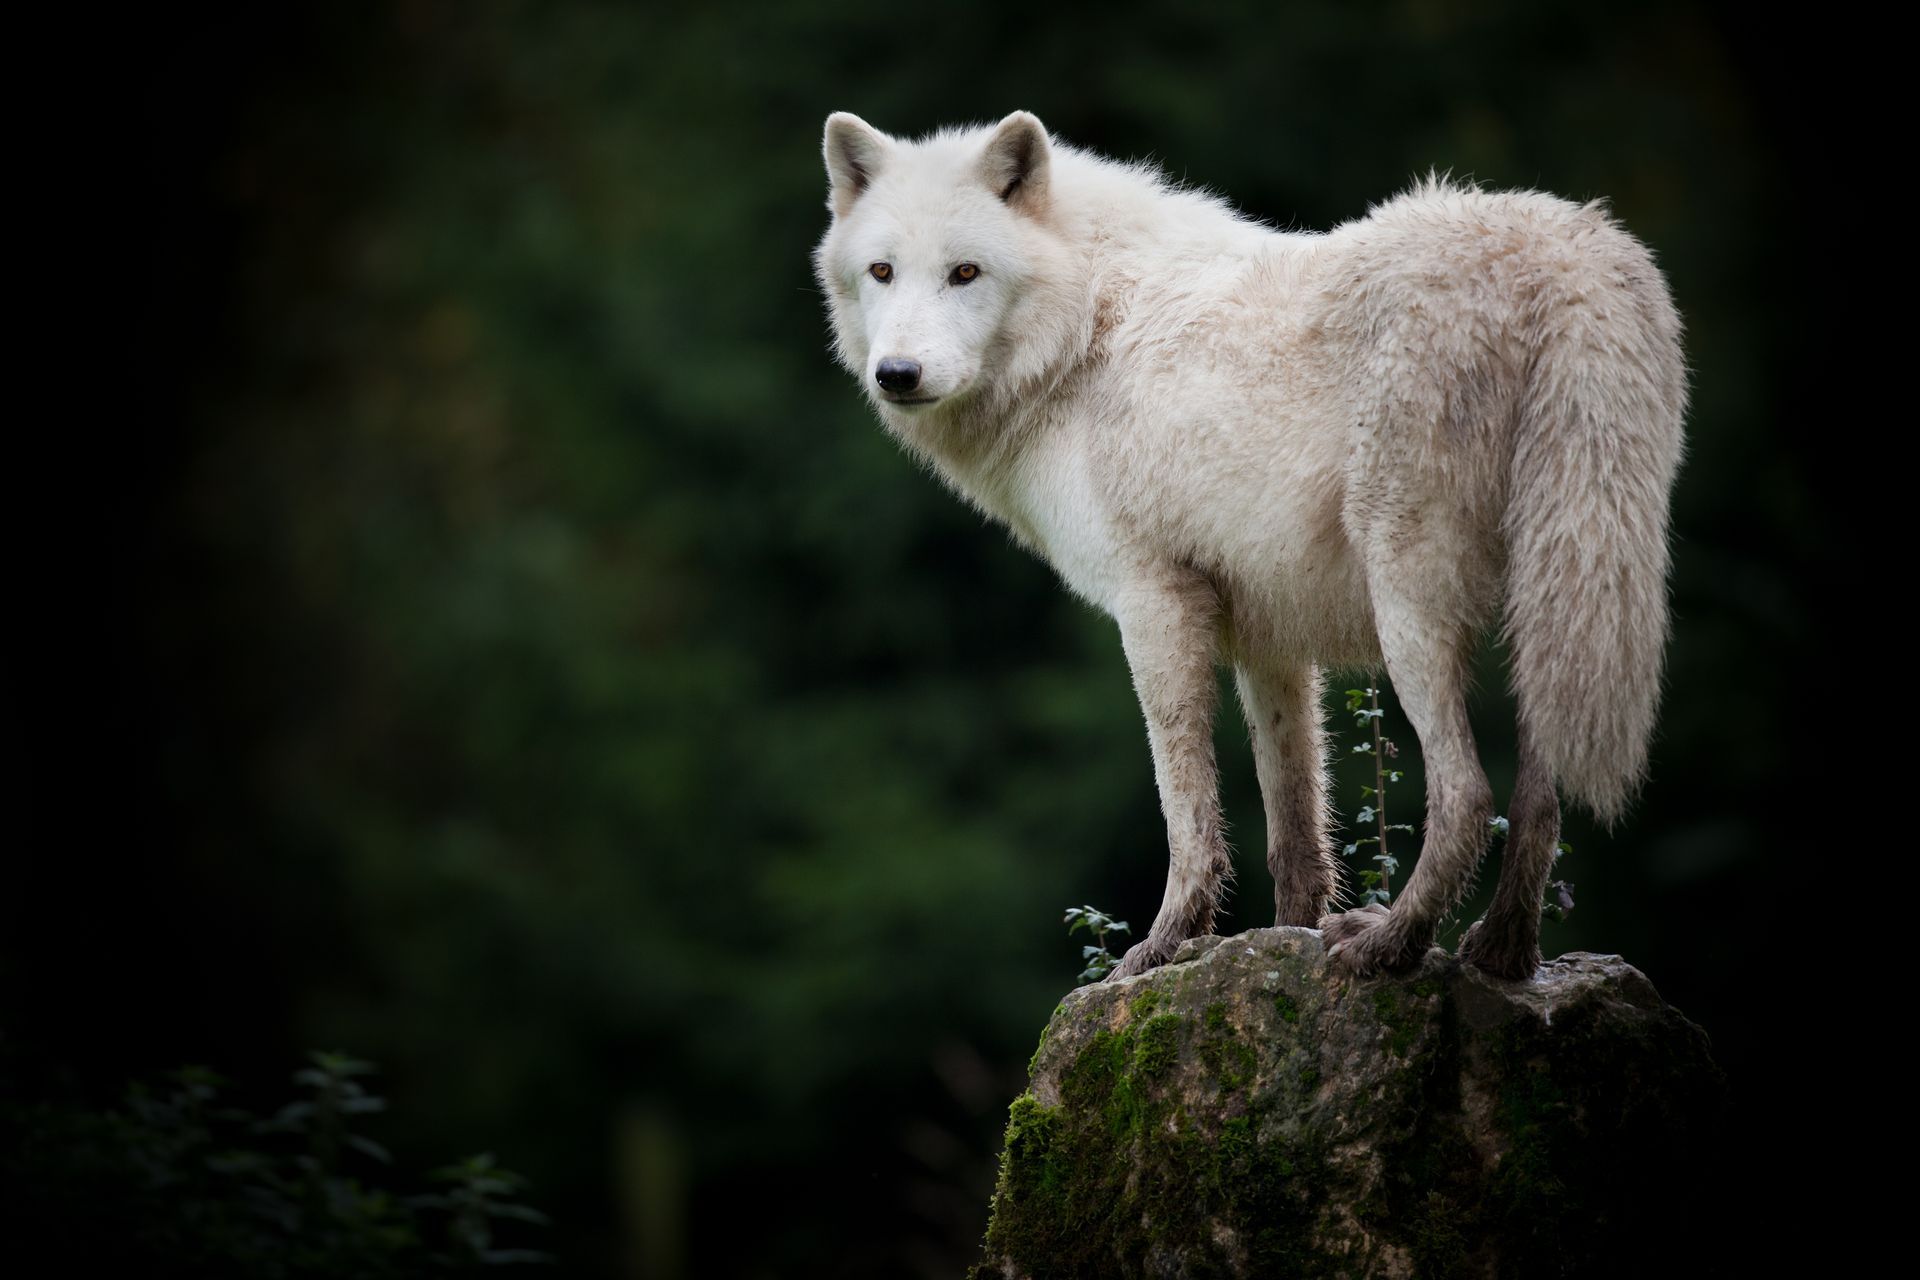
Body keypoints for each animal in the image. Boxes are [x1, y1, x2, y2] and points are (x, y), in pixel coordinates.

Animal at [812, 111, 1686, 982]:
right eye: (882, 271)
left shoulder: (1152, 603)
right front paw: (1278, 942)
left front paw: (1166, 946)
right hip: (1555, 610)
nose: (898, 373)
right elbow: (1294, 826)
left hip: (1413, 606)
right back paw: (1500, 953)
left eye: (965, 272)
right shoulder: (1271, 639)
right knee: (1542, 795)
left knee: (1469, 795)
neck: (1086, 329)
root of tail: (1563, 260)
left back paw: (1389, 944)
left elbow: (1186, 808)